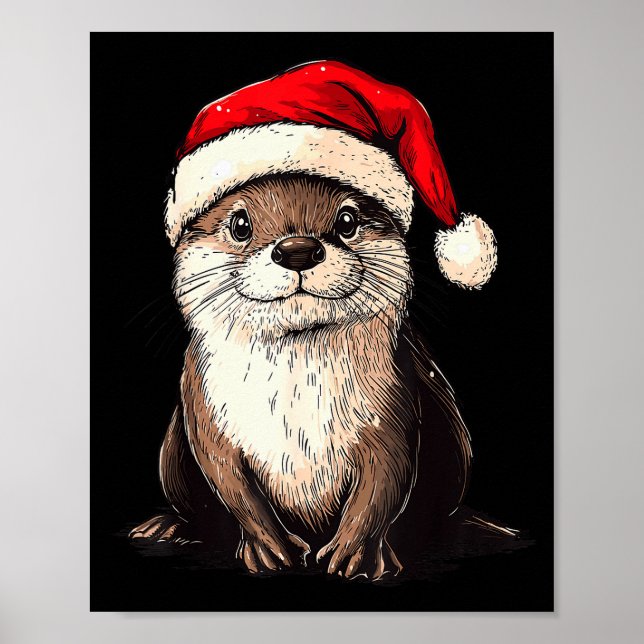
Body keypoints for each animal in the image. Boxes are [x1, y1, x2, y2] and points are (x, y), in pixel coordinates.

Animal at [130, 174, 472, 580]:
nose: (298, 250)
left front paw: (354, 554)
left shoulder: (392, 403)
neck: (295, 399)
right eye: (240, 225)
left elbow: (383, 482)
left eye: (347, 221)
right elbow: (231, 483)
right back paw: (164, 526)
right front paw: (269, 549)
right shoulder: (204, 408)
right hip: (171, 453)